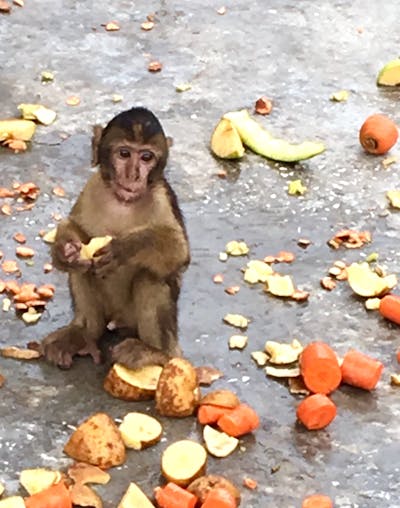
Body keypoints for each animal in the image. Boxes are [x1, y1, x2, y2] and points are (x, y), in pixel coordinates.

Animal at [39, 107, 190, 370]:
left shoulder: (162, 196)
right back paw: (83, 333)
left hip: (133, 321)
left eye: (147, 157)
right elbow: (77, 228)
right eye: (124, 153)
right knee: (83, 269)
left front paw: (125, 248)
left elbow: (179, 252)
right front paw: (64, 250)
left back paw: (155, 352)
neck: (124, 201)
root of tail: (117, 320)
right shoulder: (93, 186)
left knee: (150, 277)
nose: (133, 175)